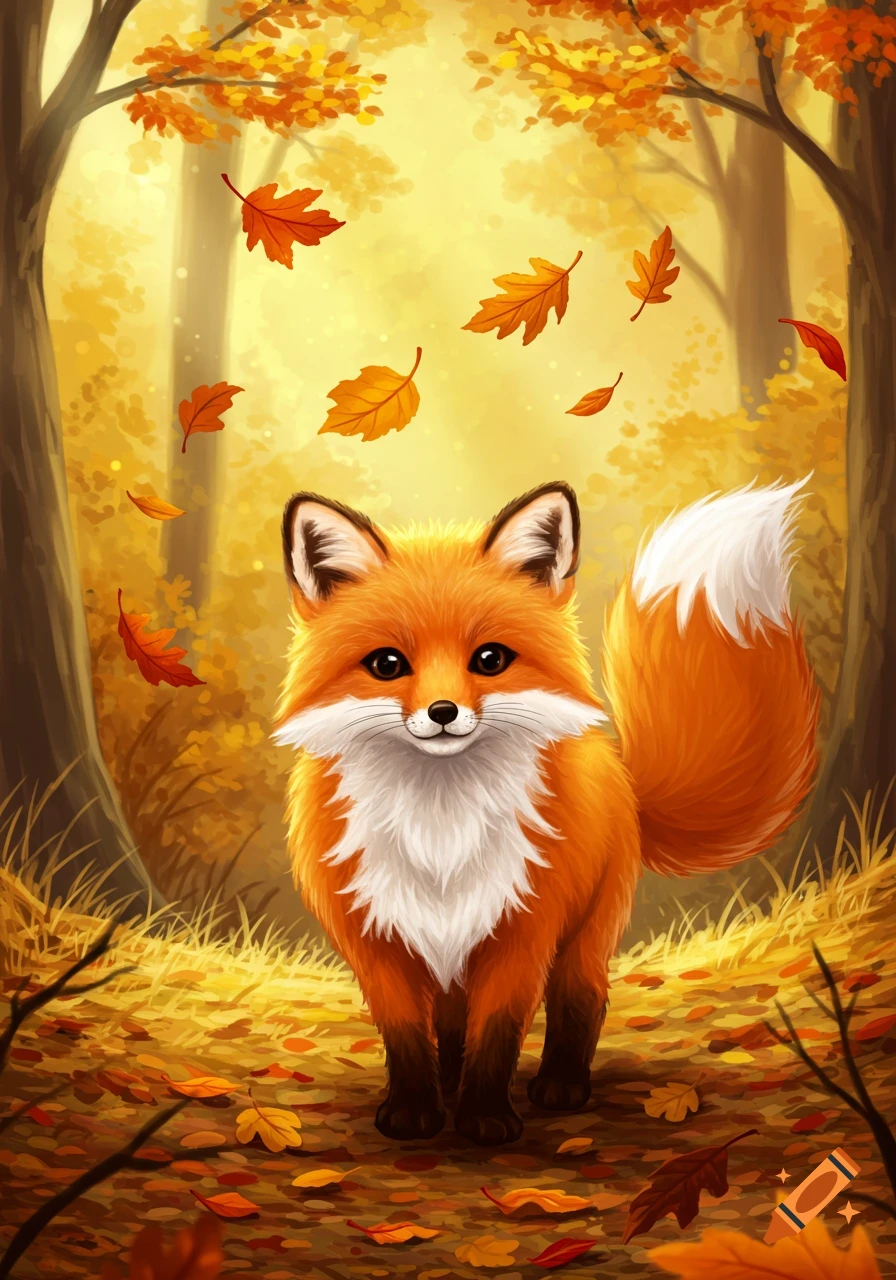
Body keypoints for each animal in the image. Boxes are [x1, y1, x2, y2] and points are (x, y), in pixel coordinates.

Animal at [274, 479, 819, 1147]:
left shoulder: (524, 930)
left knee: (584, 999)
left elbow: (496, 1036)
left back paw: (561, 1085)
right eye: (387, 665)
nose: (443, 712)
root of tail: (619, 767)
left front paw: (485, 1118)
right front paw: (414, 1111)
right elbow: (406, 1037)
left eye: (489, 659)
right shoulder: (377, 938)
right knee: (450, 1022)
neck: (440, 827)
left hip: (586, 932)